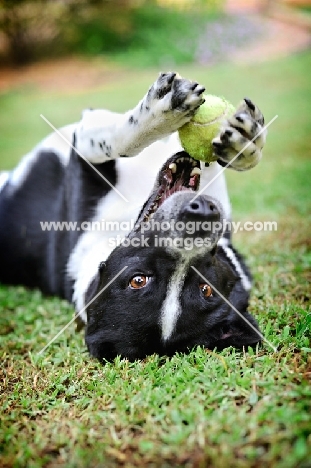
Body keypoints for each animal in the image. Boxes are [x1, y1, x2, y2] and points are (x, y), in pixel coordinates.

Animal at [0, 73, 268, 360]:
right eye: (137, 280)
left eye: (206, 289)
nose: (201, 214)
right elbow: (117, 142)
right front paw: (160, 114)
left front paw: (243, 143)